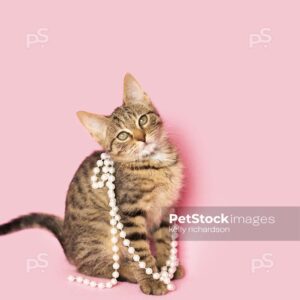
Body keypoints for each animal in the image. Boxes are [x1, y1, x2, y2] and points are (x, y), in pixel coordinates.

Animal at [0, 73, 183, 296]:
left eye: (143, 120)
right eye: (123, 135)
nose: (142, 138)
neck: (155, 163)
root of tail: (68, 244)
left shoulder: (164, 208)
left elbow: (164, 240)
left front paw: (167, 265)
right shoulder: (129, 212)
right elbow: (140, 251)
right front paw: (151, 279)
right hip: (102, 226)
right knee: (91, 265)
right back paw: (129, 272)